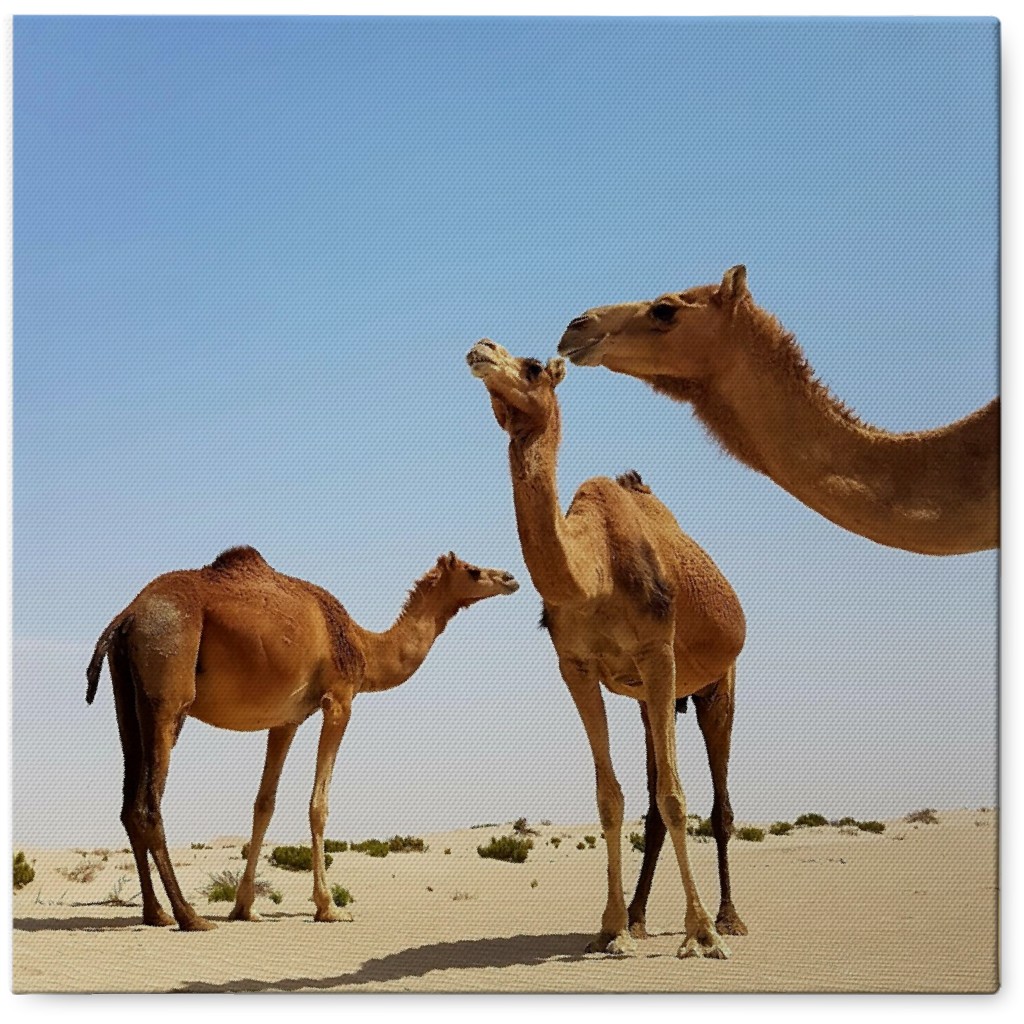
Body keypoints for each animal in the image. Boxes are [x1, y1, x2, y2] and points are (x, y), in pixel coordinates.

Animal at [86, 548, 520, 933]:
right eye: (474, 571)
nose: (510, 578)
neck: (363, 646)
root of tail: (126, 616)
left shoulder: (286, 719)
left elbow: (264, 804)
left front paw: (246, 907)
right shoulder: (339, 700)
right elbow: (318, 805)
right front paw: (329, 908)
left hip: (127, 697)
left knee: (129, 804)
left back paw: (156, 914)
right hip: (168, 690)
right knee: (149, 804)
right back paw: (190, 916)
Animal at [468, 339, 749, 954]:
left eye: (532, 367)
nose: (481, 350)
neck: (592, 573)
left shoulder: (659, 652)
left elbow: (676, 796)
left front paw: (699, 934)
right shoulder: (576, 666)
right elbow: (610, 798)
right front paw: (612, 928)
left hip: (718, 684)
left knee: (719, 804)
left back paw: (728, 919)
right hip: (649, 701)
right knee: (650, 799)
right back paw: (641, 917)